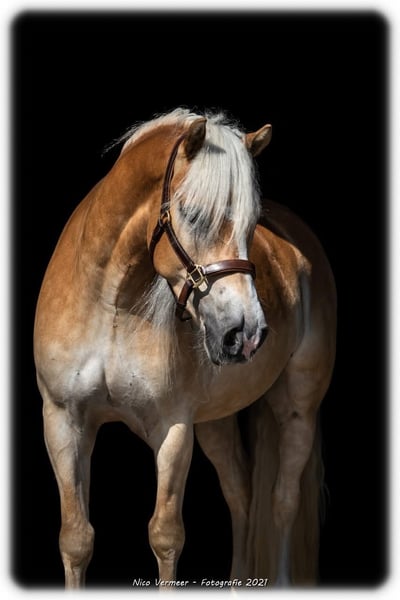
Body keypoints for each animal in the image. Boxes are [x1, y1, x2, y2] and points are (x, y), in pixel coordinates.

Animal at [33, 108, 336, 588]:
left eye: (252, 223)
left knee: (281, 502)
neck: (110, 305)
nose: (246, 332)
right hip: (215, 421)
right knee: (240, 496)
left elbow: (165, 536)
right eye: (193, 214)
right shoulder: (64, 420)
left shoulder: (172, 428)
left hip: (297, 409)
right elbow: (76, 539)